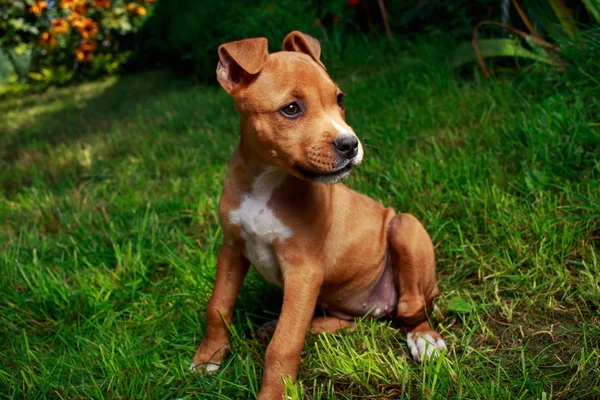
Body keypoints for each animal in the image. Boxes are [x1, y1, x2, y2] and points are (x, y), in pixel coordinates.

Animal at [192, 30, 446, 396]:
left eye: (339, 98)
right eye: (291, 109)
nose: (350, 145)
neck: (268, 181)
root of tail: (379, 308)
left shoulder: (304, 270)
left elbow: (285, 344)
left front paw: (273, 395)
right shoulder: (232, 249)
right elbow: (218, 307)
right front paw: (208, 358)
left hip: (405, 227)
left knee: (411, 309)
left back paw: (424, 339)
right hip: (344, 304)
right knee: (346, 322)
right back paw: (287, 326)